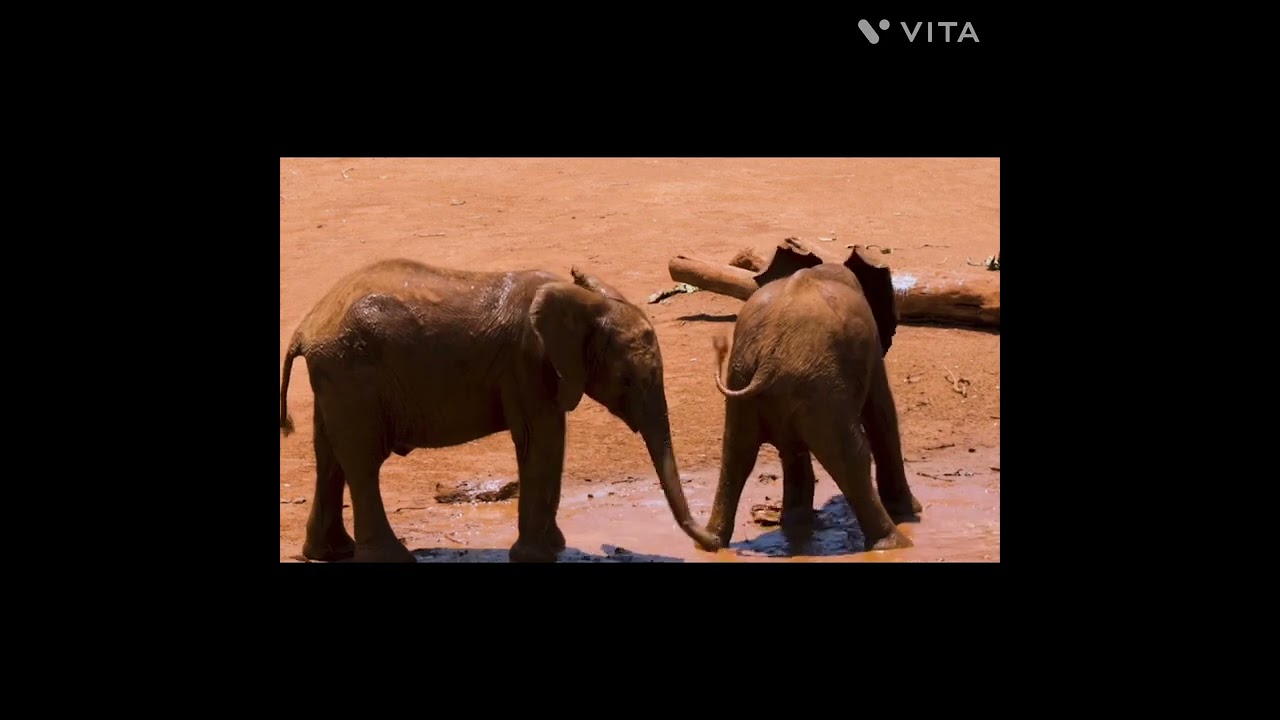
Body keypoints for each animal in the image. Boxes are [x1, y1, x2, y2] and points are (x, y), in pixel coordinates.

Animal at [279, 258, 723, 563]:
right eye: (628, 380)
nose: (715, 544)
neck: (585, 302)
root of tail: (306, 327)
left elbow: (550, 439)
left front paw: (553, 548)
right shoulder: (526, 361)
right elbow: (541, 438)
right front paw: (539, 556)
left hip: (338, 378)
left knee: (330, 457)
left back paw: (330, 553)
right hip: (353, 373)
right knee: (363, 461)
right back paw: (392, 558)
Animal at [697, 258, 923, 553]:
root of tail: (770, 352)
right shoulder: (871, 351)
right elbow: (881, 415)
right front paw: (911, 511)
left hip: (750, 376)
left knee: (736, 454)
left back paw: (717, 541)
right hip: (817, 385)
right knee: (851, 455)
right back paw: (895, 544)